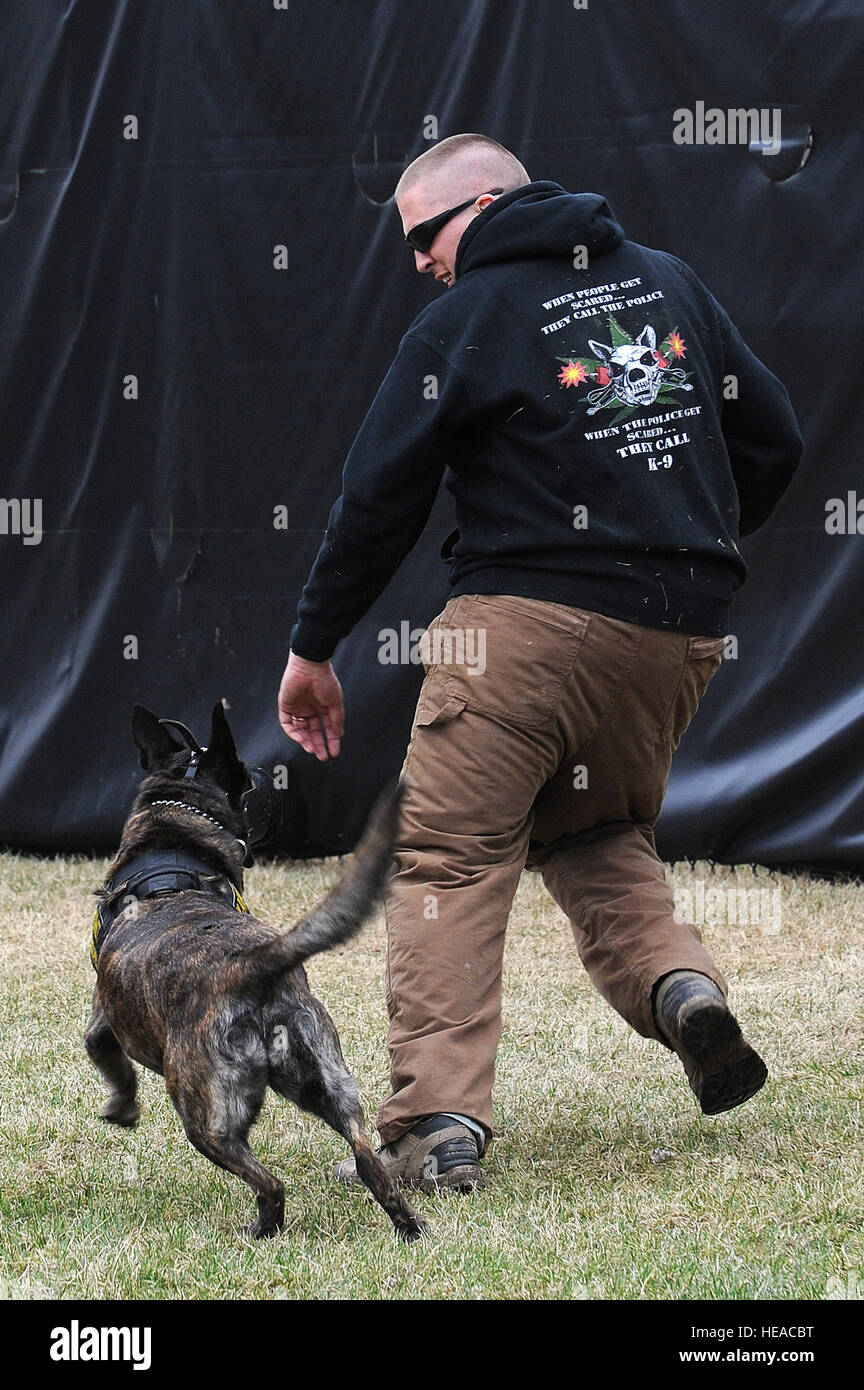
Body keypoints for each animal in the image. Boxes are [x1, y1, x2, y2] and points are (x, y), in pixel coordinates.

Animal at [86, 700, 427, 1245]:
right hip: (329, 1085)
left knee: (270, 1183)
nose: (274, 785)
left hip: (208, 1119)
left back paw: (261, 1231)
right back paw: (410, 1228)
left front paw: (121, 1111)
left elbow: (112, 1066)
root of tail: (255, 965)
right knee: (369, 1163)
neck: (172, 845)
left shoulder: (101, 1024)